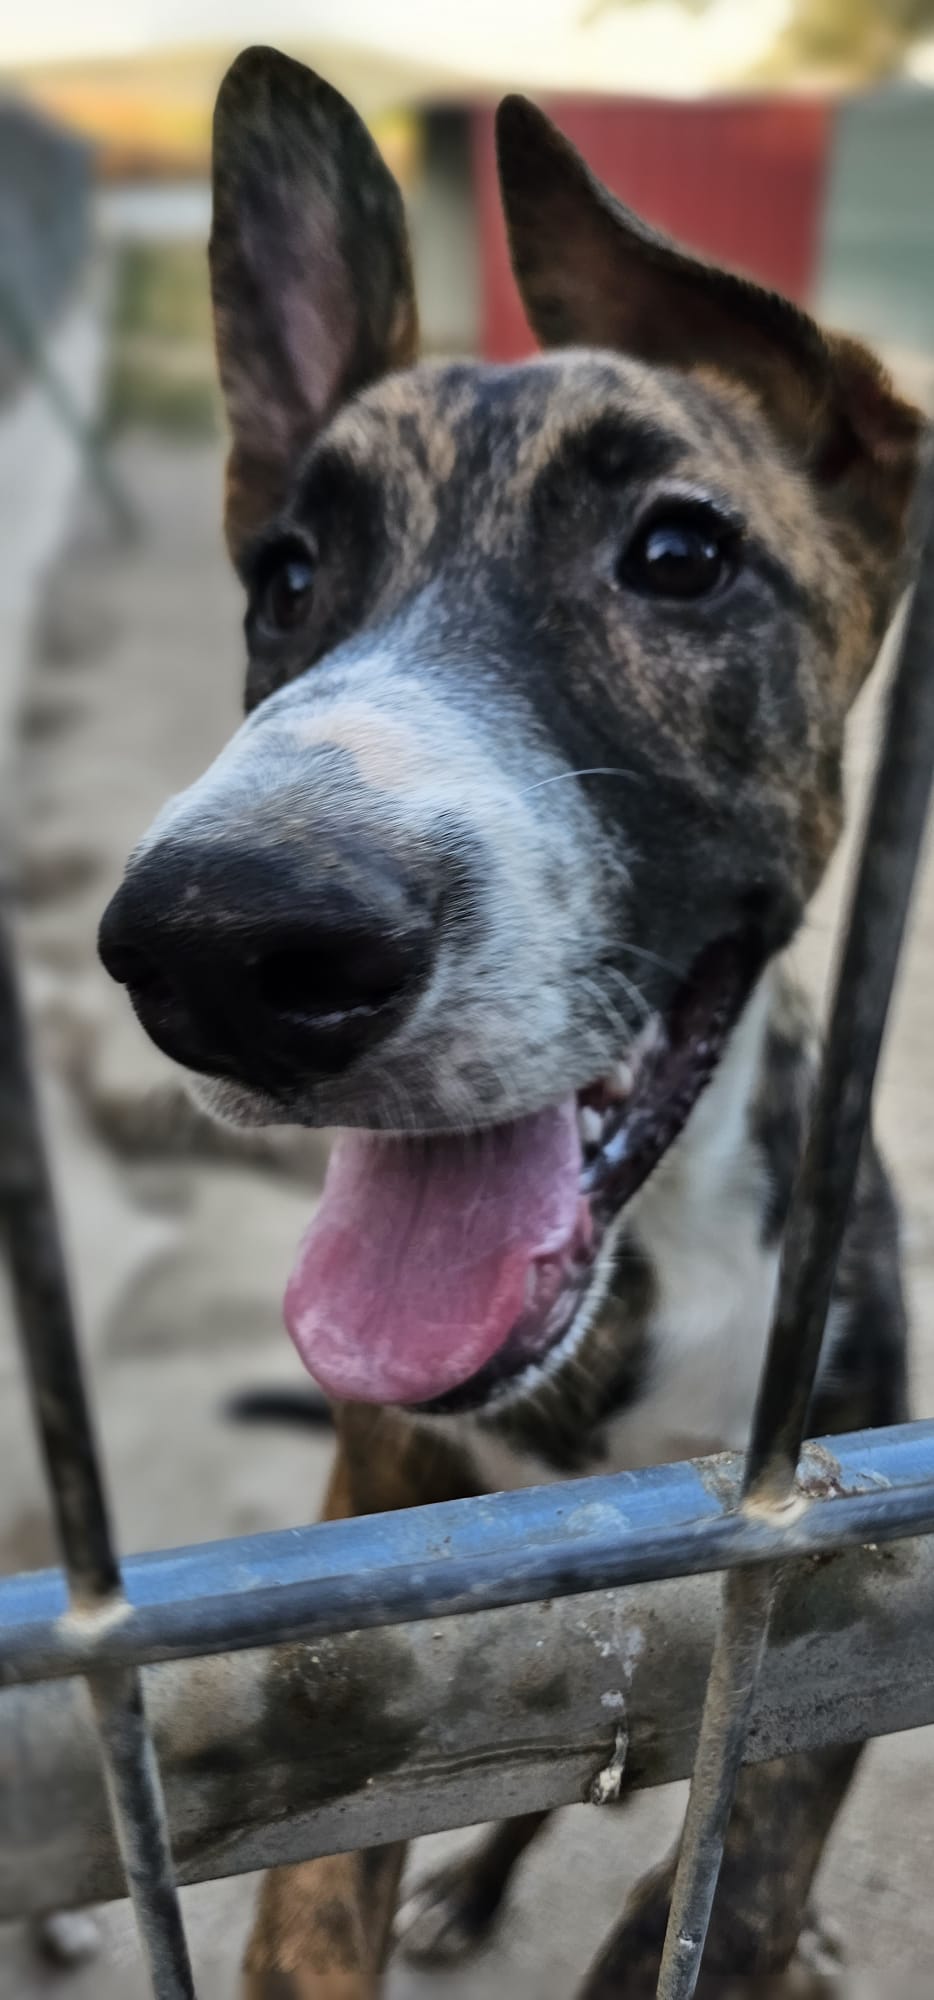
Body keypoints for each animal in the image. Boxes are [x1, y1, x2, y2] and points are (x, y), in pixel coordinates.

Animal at [98, 45, 920, 1998]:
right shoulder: (379, 1621)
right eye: (286, 579)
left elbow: (720, 1886)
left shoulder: (824, 1622)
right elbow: (329, 1882)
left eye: (679, 552)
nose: (220, 949)